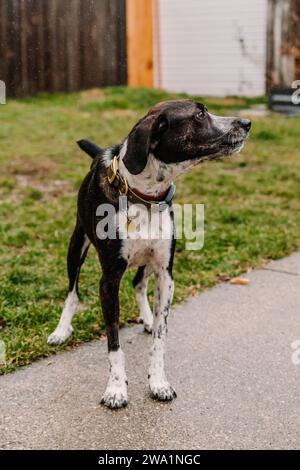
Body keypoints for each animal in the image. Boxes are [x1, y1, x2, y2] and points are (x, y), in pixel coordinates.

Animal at [47, 99, 251, 408]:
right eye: (200, 114)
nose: (247, 123)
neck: (144, 197)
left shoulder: (166, 274)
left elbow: (160, 337)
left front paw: (158, 382)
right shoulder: (108, 281)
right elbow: (114, 343)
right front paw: (116, 388)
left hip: (148, 261)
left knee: (138, 283)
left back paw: (146, 317)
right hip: (76, 245)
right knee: (72, 291)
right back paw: (61, 330)